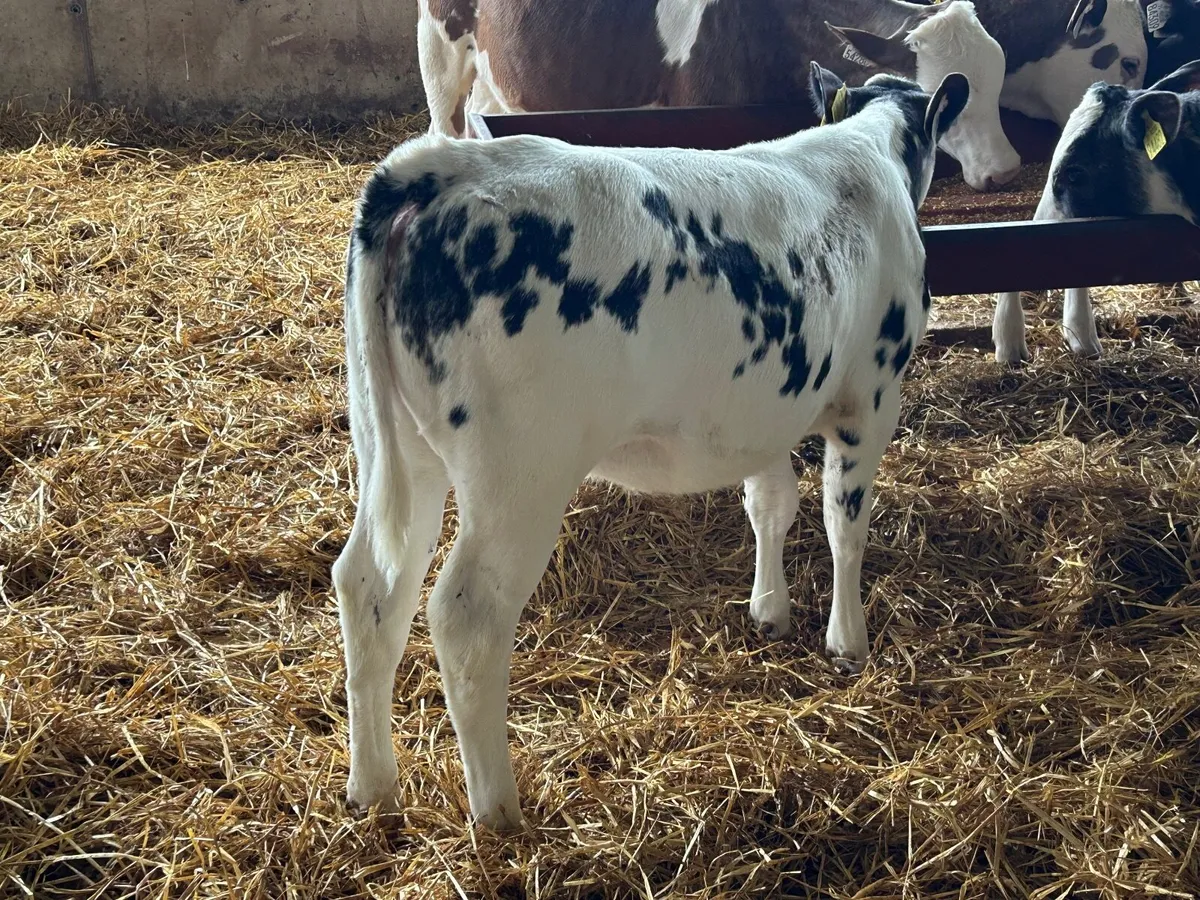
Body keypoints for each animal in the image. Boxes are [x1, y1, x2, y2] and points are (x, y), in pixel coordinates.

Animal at [332, 65, 970, 829]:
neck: (866, 156)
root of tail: (439, 169)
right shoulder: (870, 401)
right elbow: (844, 526)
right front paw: (849, 642)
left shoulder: (762, 410)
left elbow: (771, 505)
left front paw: (770, 610)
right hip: (519, 472)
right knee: (465, 615)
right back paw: (499, 810)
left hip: (397, 445)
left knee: (370, 587)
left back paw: (373, 787)